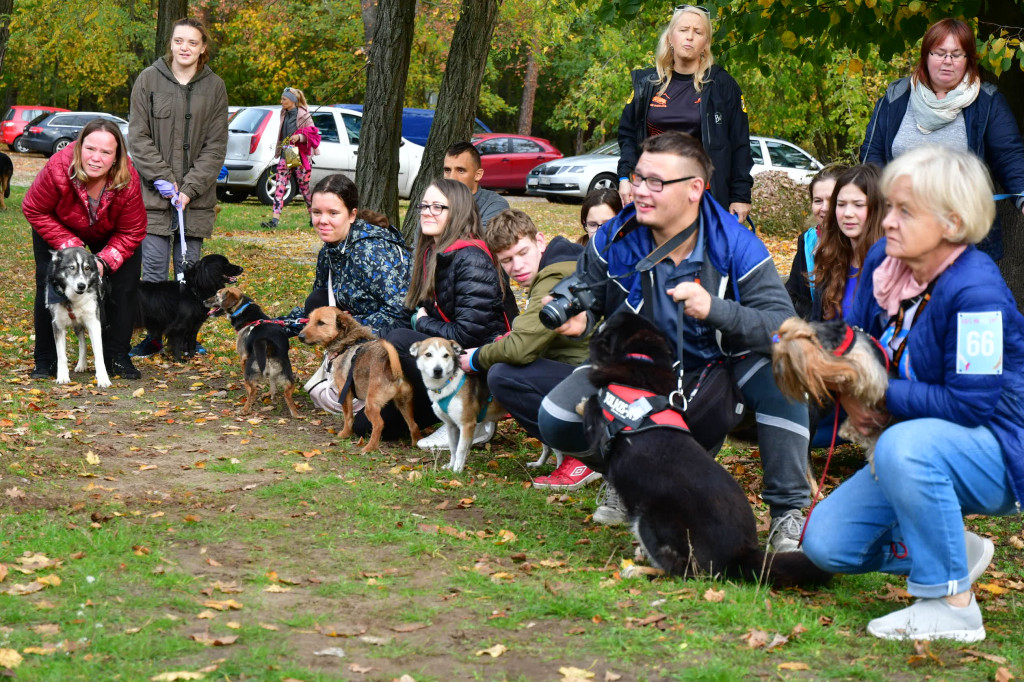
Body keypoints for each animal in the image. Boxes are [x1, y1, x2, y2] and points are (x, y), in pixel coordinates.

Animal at [47, 246, 110, 387]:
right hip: (77, 326)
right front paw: (63, 376)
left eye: (87, 268)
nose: (82, 286)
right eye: (71, 267)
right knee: (83, 342)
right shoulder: (58, 325)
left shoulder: (94, 323)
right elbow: (61, 356)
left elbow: (99, 354)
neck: (72, 300)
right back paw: (82, 364)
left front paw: (103, 378)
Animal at [299, 307, 421, 450]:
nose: (300, 336)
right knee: (414, 425)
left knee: (379, 424)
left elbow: (348, 417)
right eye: (309, 320)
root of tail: (395, 372)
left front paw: (345, 434)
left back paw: (369, 448)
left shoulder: (345, 393)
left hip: (371, 405)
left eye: (321, 323)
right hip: (404, 404)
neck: (347, 342)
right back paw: (416, 443)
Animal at [407, 335, 503, 473]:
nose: (438, 370)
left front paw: (457, 470)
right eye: (428, 354)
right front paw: (451, 465)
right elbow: (453, 448)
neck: (447, 384)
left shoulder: (467, 424)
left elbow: (460, 449)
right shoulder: (451, 425)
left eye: (446, 355)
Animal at [585, 311, 831, 585]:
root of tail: (741, 554)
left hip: (650, 520)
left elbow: (587, 404)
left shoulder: (597, 424)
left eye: (610, 325)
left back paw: (638, 569)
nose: (623, 309)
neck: (640, 364)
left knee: (684, 571)